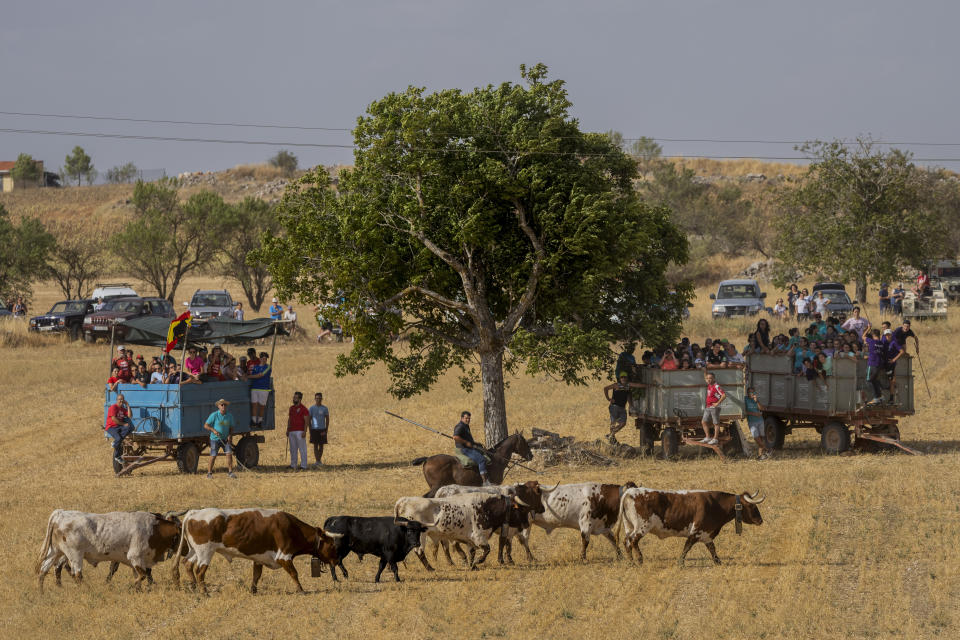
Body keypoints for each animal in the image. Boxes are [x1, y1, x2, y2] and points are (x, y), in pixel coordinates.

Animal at [36, 508, 184, 592]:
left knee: (44, 570)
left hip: (55, 552)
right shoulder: (135, 557)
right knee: (76, 574)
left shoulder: (134, 562)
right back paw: (88, 590)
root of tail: (60, 514)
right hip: (75, 555)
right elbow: (143, 574)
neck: (154, 529)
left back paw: (42, 592)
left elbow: (139, 575)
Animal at [174, 510, 344, 596]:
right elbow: (294, 573)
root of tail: (193, 513)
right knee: (200, 571)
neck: (292, 528)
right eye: (332, 545)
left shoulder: (259, 558)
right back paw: (204, 592)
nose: (337, 561)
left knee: (187, 564)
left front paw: (253, 590)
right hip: (205, 552)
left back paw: (193, 587)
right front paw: (301, 590)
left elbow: (256, 575)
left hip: (194, 551)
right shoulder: (284, 557)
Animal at [620, 484, 768, 564]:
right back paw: (639, 560)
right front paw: (680, 563)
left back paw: (631, 562)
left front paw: (718, 562)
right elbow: (687, 548)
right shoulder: (695, 532)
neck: (716, 504)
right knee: (633, 541)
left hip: (629, 526)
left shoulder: (707, 535)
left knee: (626, 541)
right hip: (642, 527)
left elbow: (712, 550)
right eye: (752, 506)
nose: (760, 520)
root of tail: (630, 492)